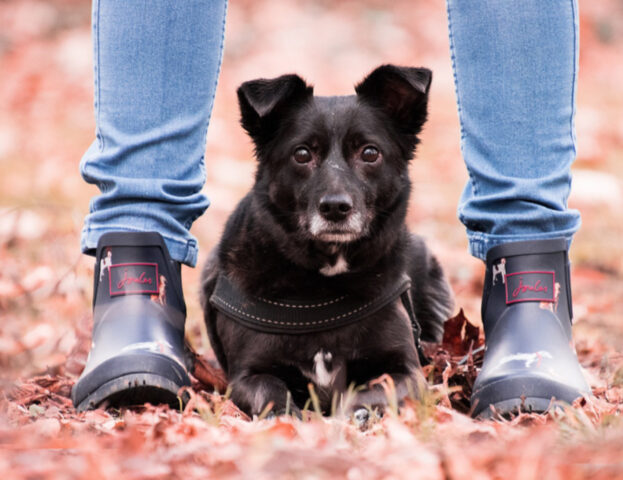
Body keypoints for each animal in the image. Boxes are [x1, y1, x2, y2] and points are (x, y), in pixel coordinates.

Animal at [202, 63, 456, 416]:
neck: (324, 282)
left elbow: (369, 392)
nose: (335, 207)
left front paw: (353, 416)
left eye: (370, 153)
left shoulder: (407, 371)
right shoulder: (246, 375)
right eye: (302, 154)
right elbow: (271, 391)